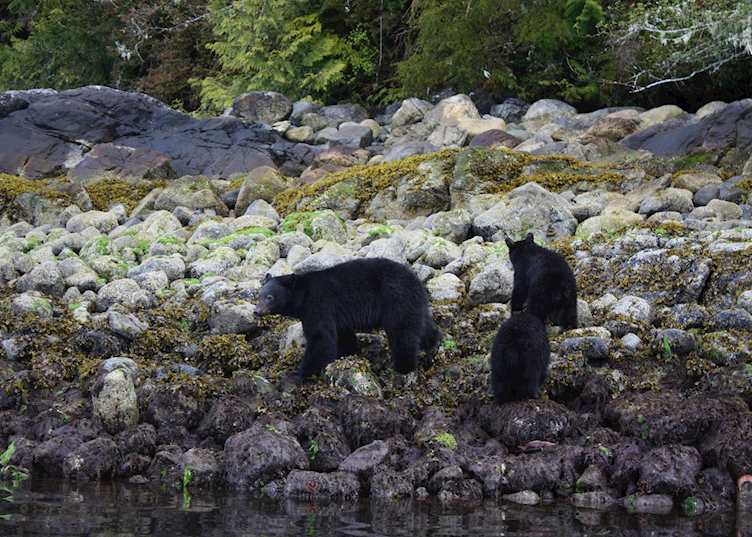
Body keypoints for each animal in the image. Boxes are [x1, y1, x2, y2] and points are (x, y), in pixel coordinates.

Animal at [255, 258, 442, 380]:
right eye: (259, 295)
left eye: (270, 297)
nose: (256, 311)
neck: (303, 295)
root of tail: (417, 281)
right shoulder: (336, 315)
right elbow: (343, 335)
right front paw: (348, 354)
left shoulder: (318, 305)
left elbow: (321, 338)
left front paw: (296, 374)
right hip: (414, 304)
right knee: (423, 326)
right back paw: (433, 348)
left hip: (396, 298)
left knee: (402, 333)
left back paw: (402, 368)